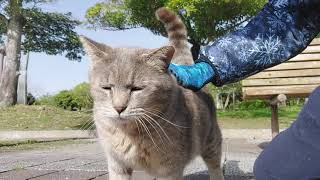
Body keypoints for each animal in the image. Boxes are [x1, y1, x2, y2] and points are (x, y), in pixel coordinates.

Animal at [80, 7, 224, 180]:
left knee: (215, 167)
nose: (119, 108)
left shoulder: (170, 168)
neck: (129, 133)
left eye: (137, 88)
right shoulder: (117, 164)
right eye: (107, 87)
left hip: (211, 141)